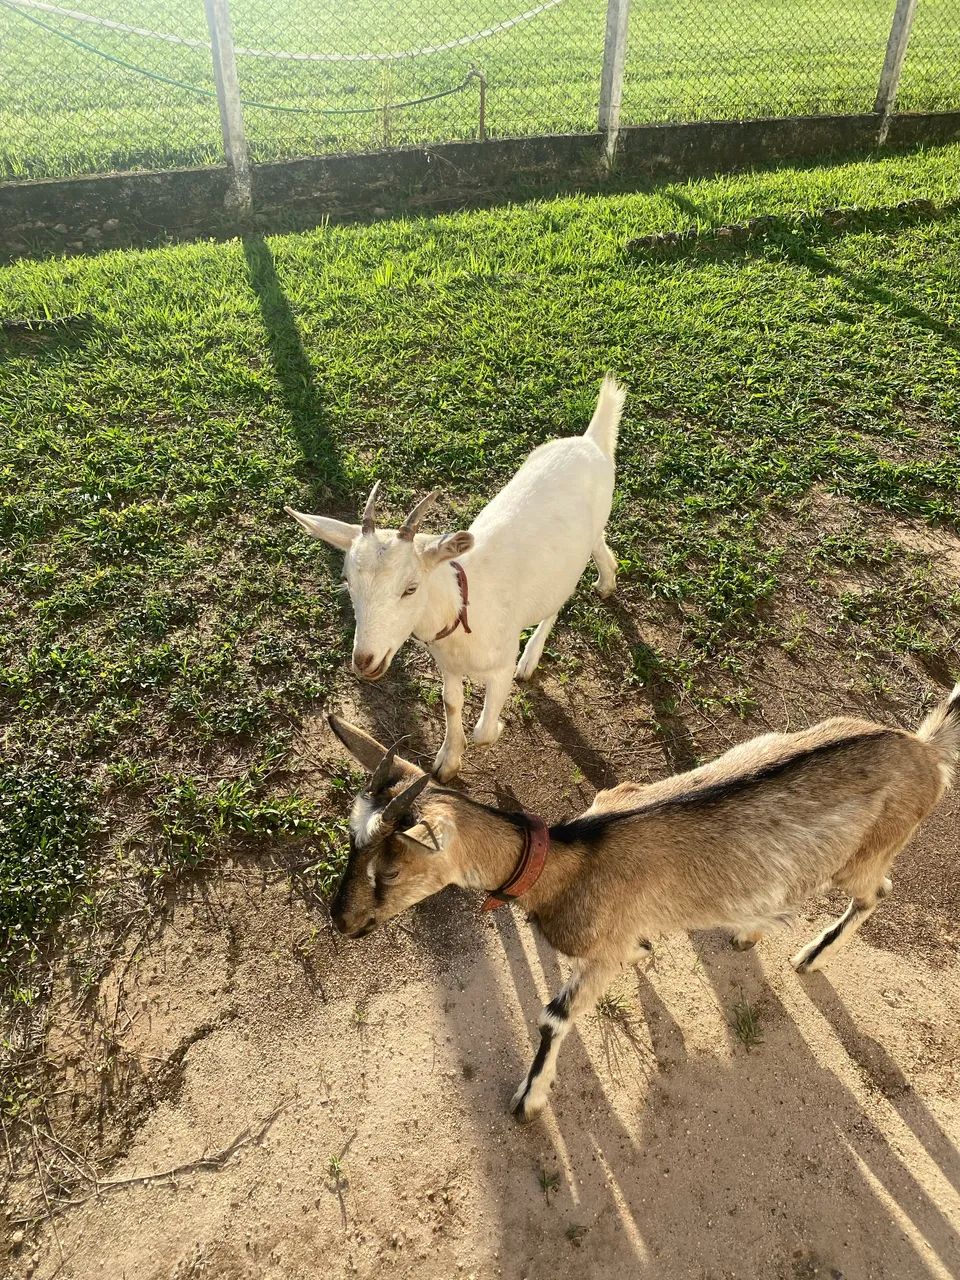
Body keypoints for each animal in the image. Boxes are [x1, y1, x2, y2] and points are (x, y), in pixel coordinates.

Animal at [286, 376, 625, 780]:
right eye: (347, 581)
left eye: (411, 588)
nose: (364, 660)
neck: (463, 606)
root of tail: (590, 441)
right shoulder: (447, 666)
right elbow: (450, 703)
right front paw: (448, 760)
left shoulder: (500, 666)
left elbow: (484, 731)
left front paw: (495, 728)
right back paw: (607, 580)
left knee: (560, 597)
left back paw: (538, 651)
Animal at [326, 685, 960, 1121]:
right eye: (350, 840)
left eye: (390, 868)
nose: (341, 920)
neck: (570, 862)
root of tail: (925, 752)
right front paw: (646, 949)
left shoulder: (599, 949)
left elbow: (554, 1017)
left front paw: (529, 1101)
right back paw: (750, 930)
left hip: (871, 851)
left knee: (877, 892)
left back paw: (809, 956)